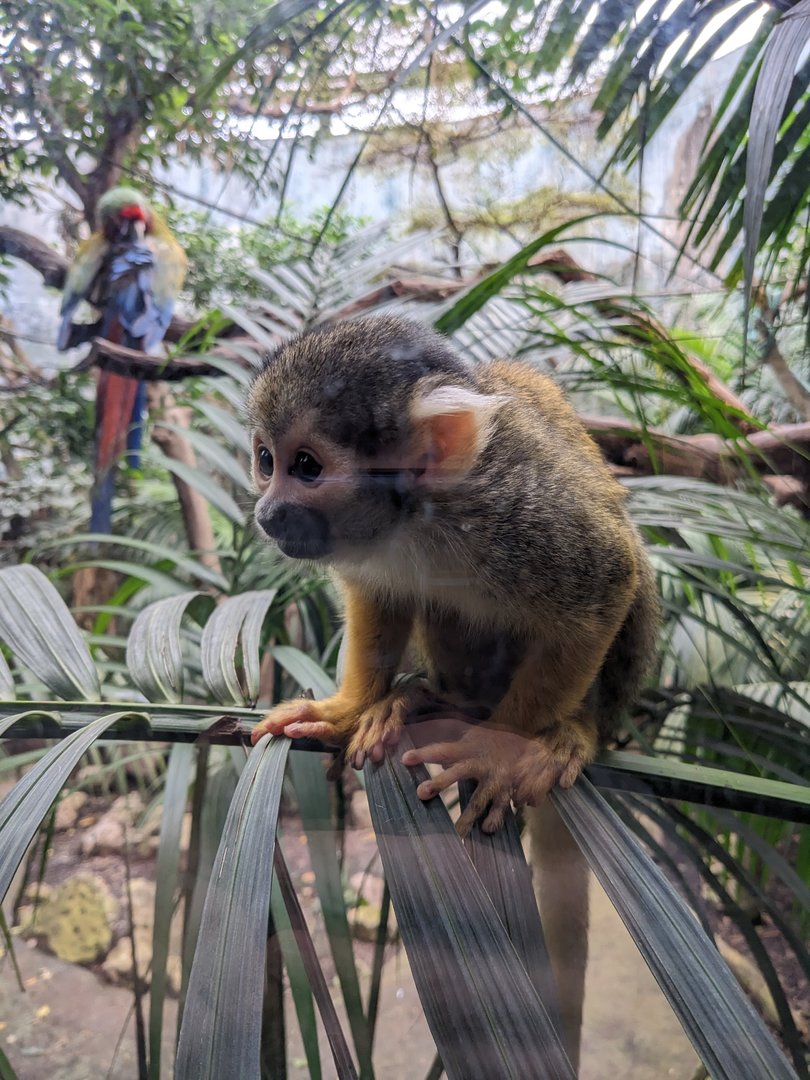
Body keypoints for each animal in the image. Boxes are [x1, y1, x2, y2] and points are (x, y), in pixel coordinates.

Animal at [246, 314, 660, 1070]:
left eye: (307, 466)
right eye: (265, 458)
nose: (267, 510)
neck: (418, 515)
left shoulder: (515, 514)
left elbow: (605, 578)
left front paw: (502, 749)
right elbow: (381, 594)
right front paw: (348, 709)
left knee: (631, 567)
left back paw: (565, 732)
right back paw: (433, 702)